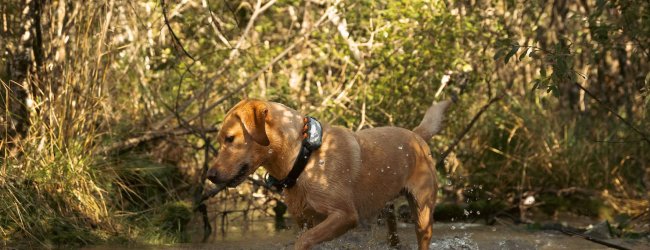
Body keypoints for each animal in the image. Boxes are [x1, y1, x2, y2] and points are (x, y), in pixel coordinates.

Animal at [205, 98, 448, 249]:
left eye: (230, 139)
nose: (210, 175)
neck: (303, 156)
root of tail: (417, 135)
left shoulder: (344, 215)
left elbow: (304, 241)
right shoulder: (304, 220)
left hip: (422, 213)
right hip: (390, 215)